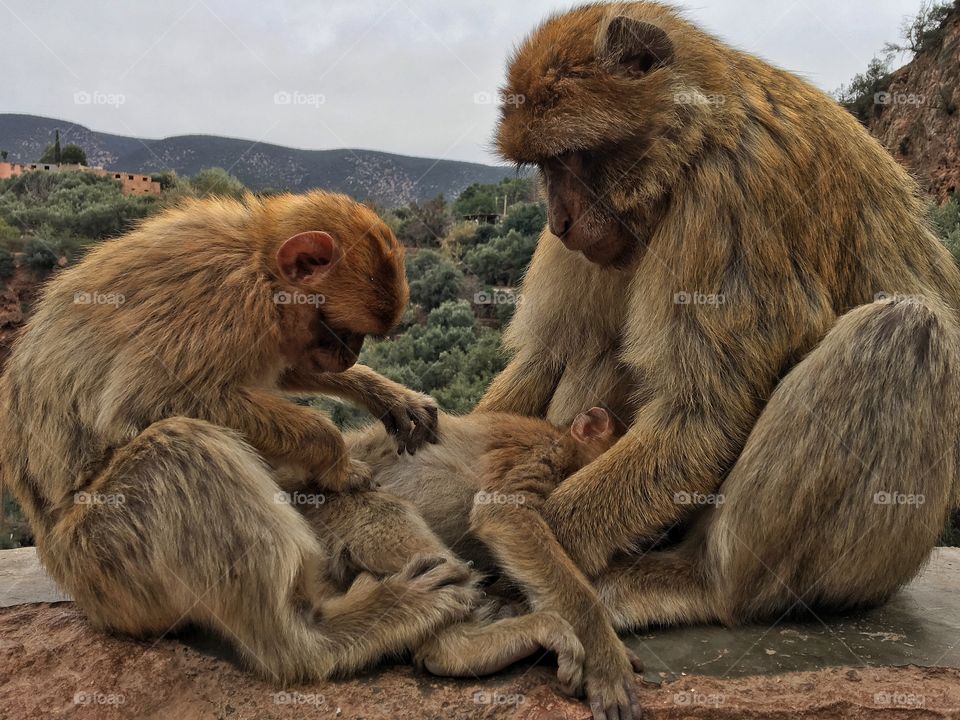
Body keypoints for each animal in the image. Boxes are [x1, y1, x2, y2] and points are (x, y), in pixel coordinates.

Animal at [0, 190, 476, 684]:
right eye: (341, 330)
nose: (347, 358)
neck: (259, 261)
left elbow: (281, 370)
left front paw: (384, 394)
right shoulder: (224, 302)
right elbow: (148, 403)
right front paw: (334, 454)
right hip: (102, 562)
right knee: (181, 448)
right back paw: (323, 636)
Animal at [307, 407, 643, 720]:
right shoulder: (542, 451)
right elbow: (504, 514)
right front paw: (606, 663)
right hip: (327, 506)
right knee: (387, 516)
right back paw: (457, 647)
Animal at [471, 1, 960, 634]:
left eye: (570, 157)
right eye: (545, 165)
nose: (558, 222)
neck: (692, 140)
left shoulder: (733, 196)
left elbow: (702, 414)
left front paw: (517, 548)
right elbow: (547, 356)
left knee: (904, 331)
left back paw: (700, 581)